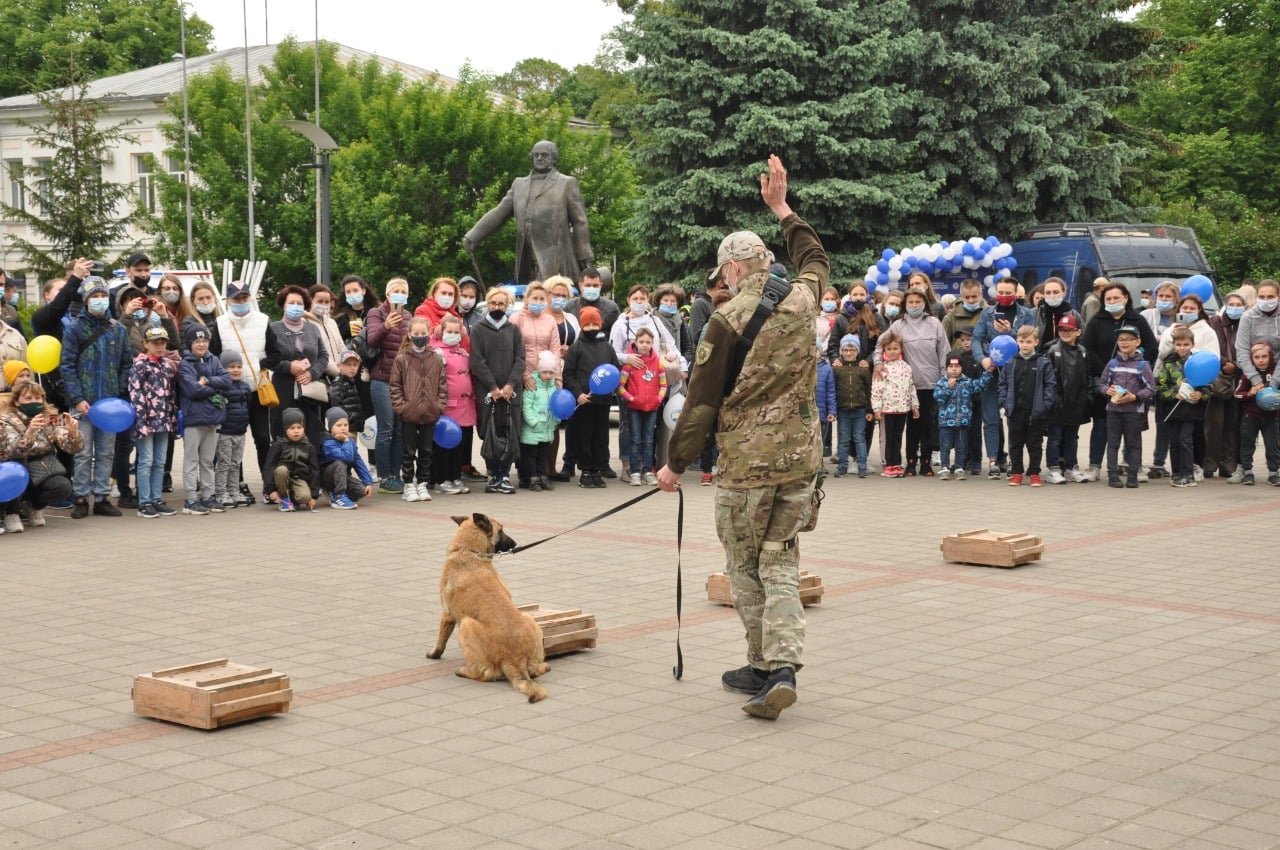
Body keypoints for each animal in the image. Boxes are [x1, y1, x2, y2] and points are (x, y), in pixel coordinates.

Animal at [427, 514, 547, 701]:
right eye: (501, 530)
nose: (515, 544)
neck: (468, 550)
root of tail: (515, 658)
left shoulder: (447, 615)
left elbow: (441, 641)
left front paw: (434, 654)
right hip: (528, 619)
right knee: (535, 671)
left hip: (466, 624)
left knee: (485, 675)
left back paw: (464, 671)